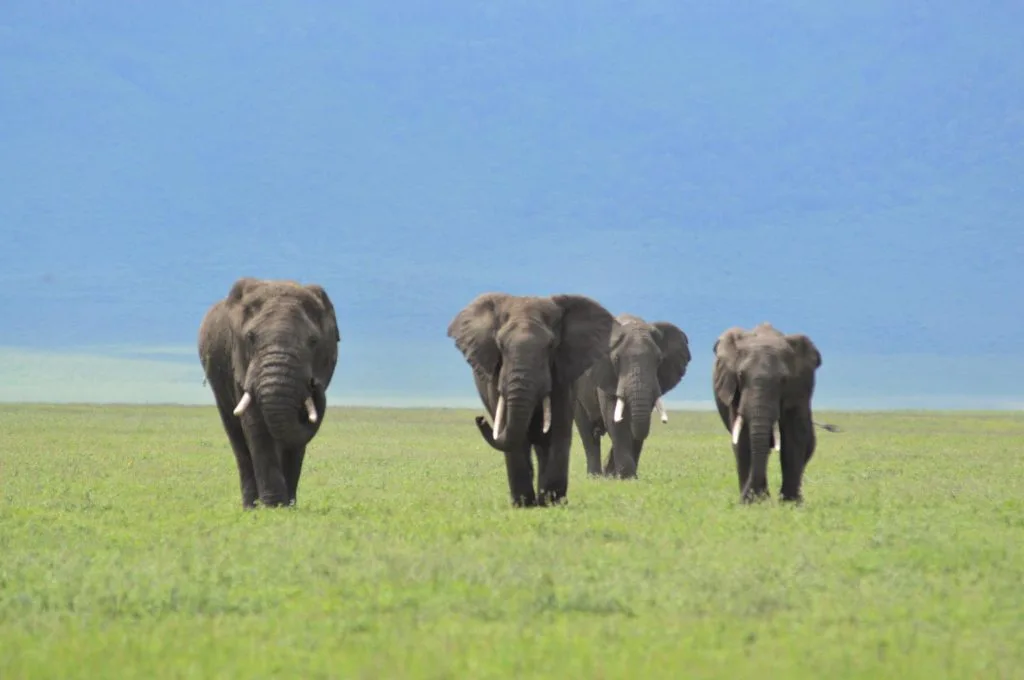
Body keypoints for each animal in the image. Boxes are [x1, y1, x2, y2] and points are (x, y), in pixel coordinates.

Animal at [198, 277, 340, 508]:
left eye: (313, 341)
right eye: (250, 337)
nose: (315, 384)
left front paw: (287, 506)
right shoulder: (241, 365)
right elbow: (256, 424)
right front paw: (274, 506)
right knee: (236, 436)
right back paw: (250, 506)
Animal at [447, 292, 615, 507]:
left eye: (551, 346)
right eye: (500, 345)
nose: (480, 419)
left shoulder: (563, 374)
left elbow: (557, 429)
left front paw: (552, 503)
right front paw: (523, 504)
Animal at [573, 314, 691, 478]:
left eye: (659, 360)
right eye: (616, 360)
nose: (608, 471)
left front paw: (622, 476)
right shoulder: (606, 374)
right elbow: (614, 419)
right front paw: (626, 477)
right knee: (587, 432)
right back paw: (595, 476)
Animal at [712, 322, 823, 504]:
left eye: (784, 380)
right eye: (740, 375)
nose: (742, 498)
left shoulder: (799, 389)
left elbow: (794, 438)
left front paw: (791, 503)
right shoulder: (734, 391)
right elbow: (743, 440)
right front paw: (753, 502)